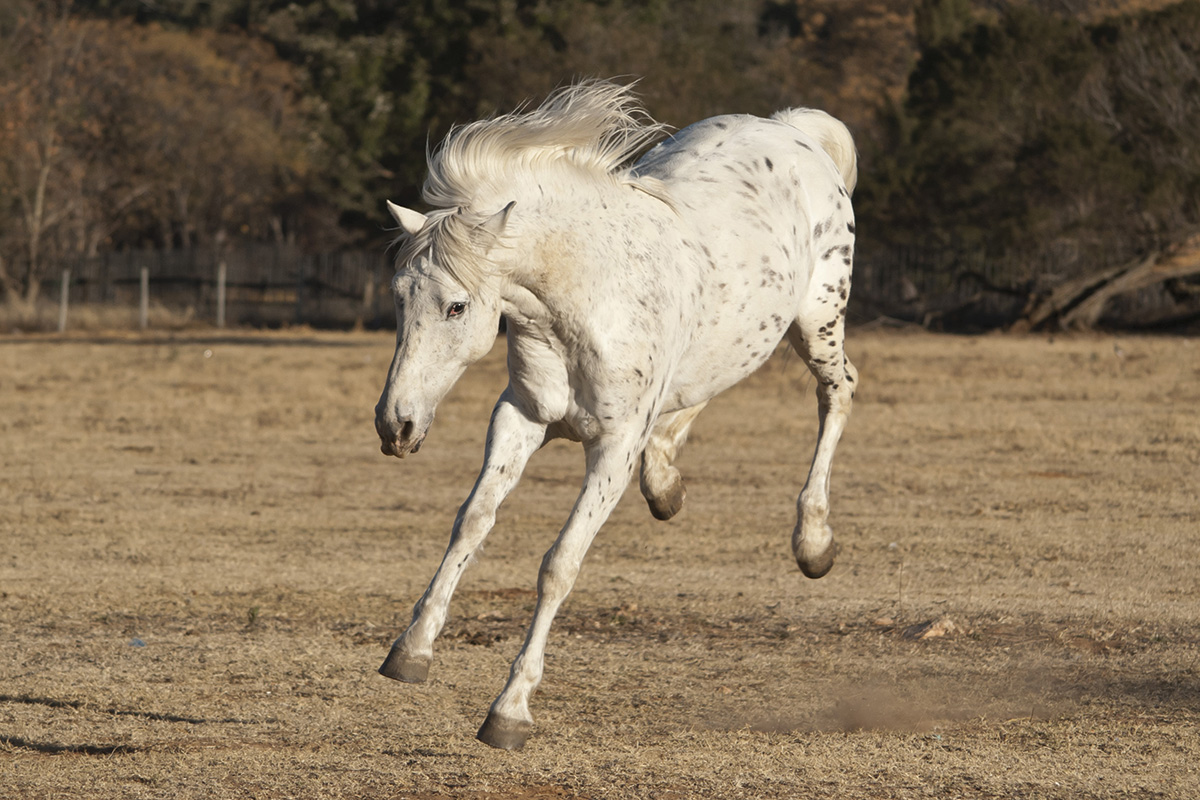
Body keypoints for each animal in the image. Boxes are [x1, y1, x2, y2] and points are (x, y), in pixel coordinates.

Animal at [372, 81, 854, 753]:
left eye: (456, 306)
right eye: (397, 295)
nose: (396, 425)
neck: (586, 295)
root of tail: (793, 129)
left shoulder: (613, 449)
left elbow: (560, 565)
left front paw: (510, 711)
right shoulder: (520, 417)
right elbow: (472, 522)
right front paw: (411, 650)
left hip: (818, 323)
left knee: (838, 394)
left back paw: (813, 541)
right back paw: (667, 485)